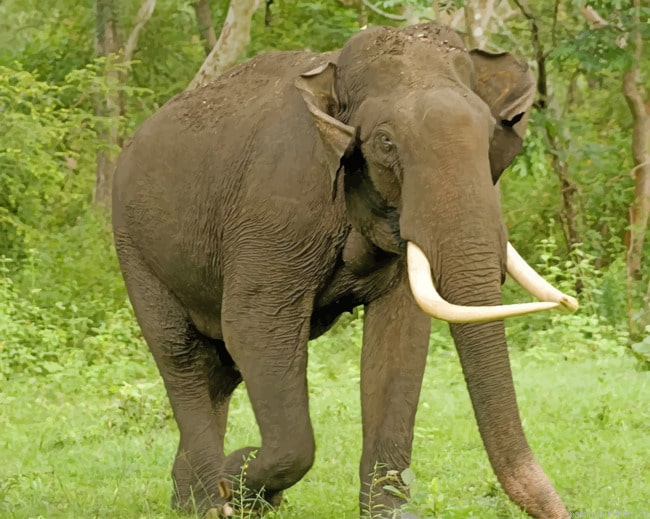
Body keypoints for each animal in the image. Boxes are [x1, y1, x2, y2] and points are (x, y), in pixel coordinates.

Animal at [112, 22, 578, 519]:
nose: (562, 511)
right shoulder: (273, 210)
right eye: (385, 142)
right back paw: (209, 503)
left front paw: (388, 513)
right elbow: (257, 326)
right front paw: (241, 481)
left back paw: (189, 500)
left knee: (220, 370)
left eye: (490, 134)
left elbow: (399, 339)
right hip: (134, 247)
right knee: (182, 354)